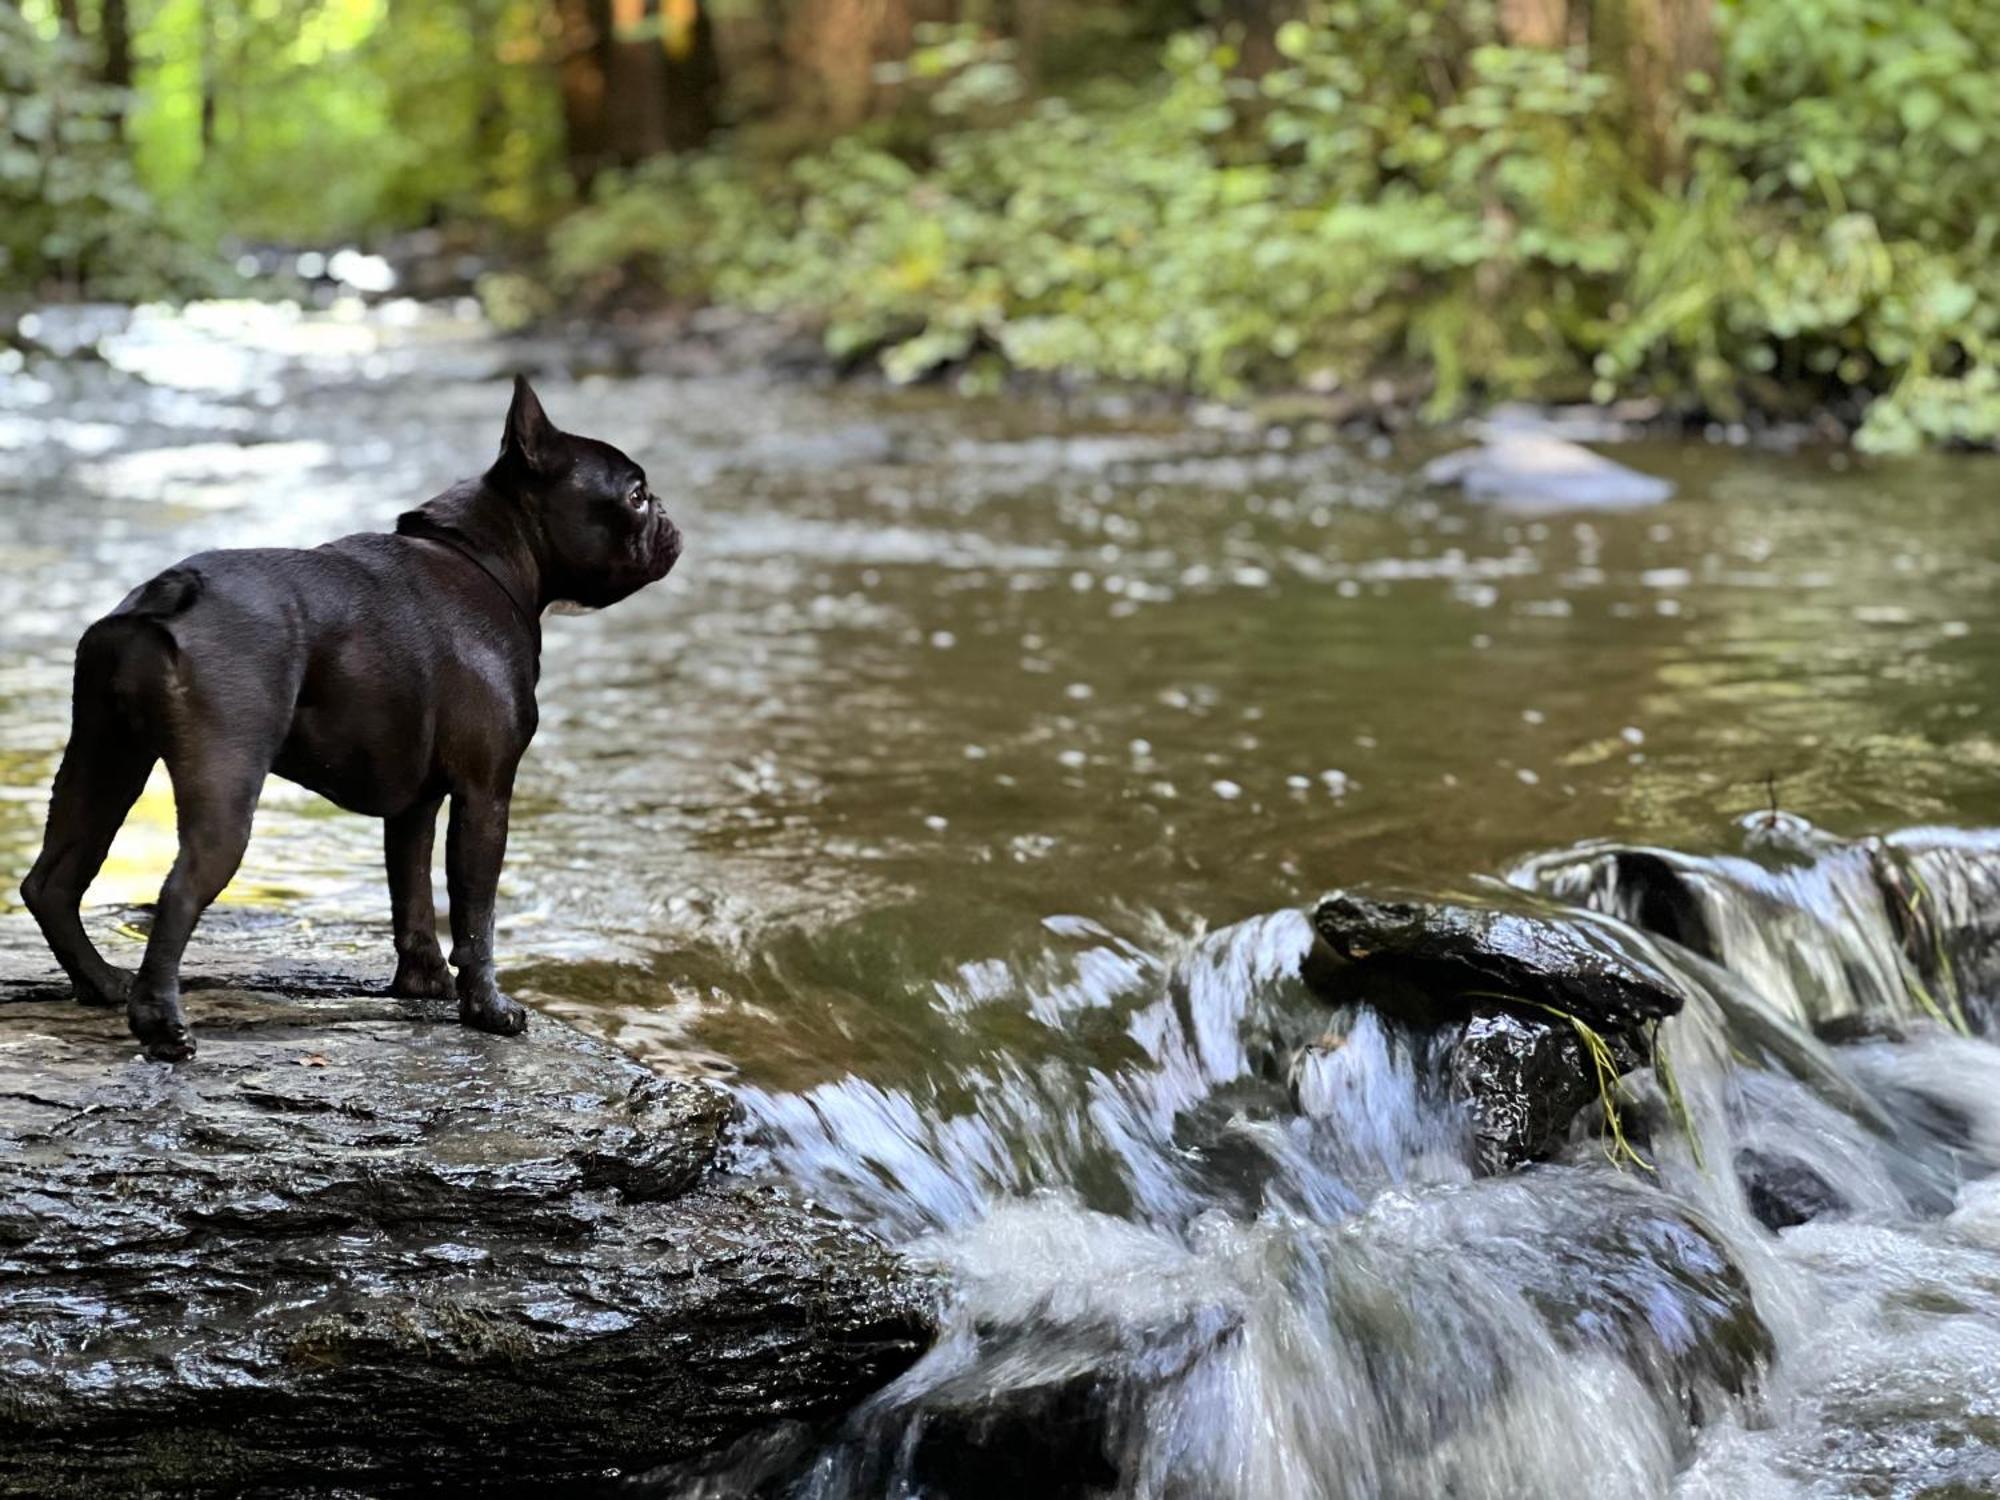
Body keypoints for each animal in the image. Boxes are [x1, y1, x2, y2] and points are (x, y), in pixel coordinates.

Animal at [19, 376, 684, 1064]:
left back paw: (102, 983)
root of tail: (173, 590)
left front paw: (425, 985)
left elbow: (411, 896)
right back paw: (161, 1026)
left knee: (51, 881)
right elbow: (475, 916)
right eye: (635, 495)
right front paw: (487, 1011)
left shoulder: (416, 806)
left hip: (104, 757)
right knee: (178, 889)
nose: (667, 514)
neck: (490, 556)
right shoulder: (485, 793)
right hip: (221, 781)